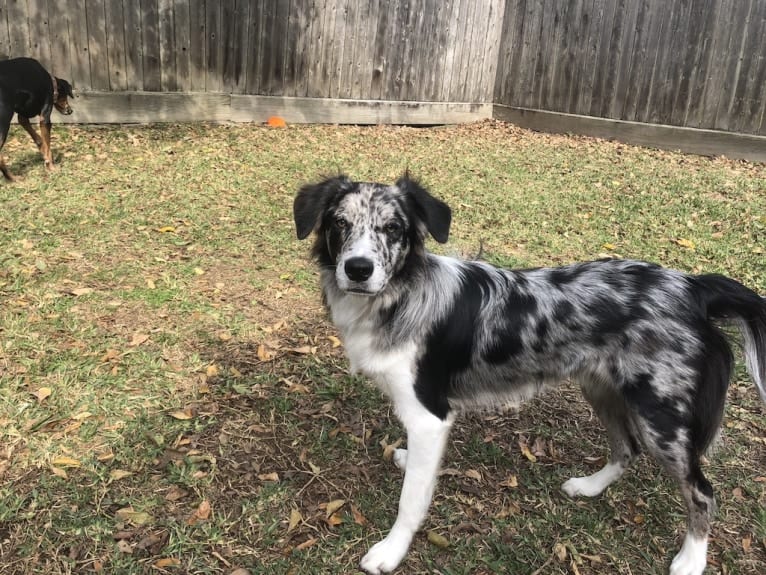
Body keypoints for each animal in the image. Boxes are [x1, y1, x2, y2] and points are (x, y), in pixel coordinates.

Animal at [294, 176, 766, 575]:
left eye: (392, 228)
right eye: (339, 223)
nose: (357, 268)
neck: (400, 295)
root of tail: (692, 286)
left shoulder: (429, 415)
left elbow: (411, 500)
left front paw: (391, 551)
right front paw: (412, 463)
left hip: (661, 418)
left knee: (702, 491)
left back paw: (691, 559)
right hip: (601, 388)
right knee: (627, 448)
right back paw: (590, 487)